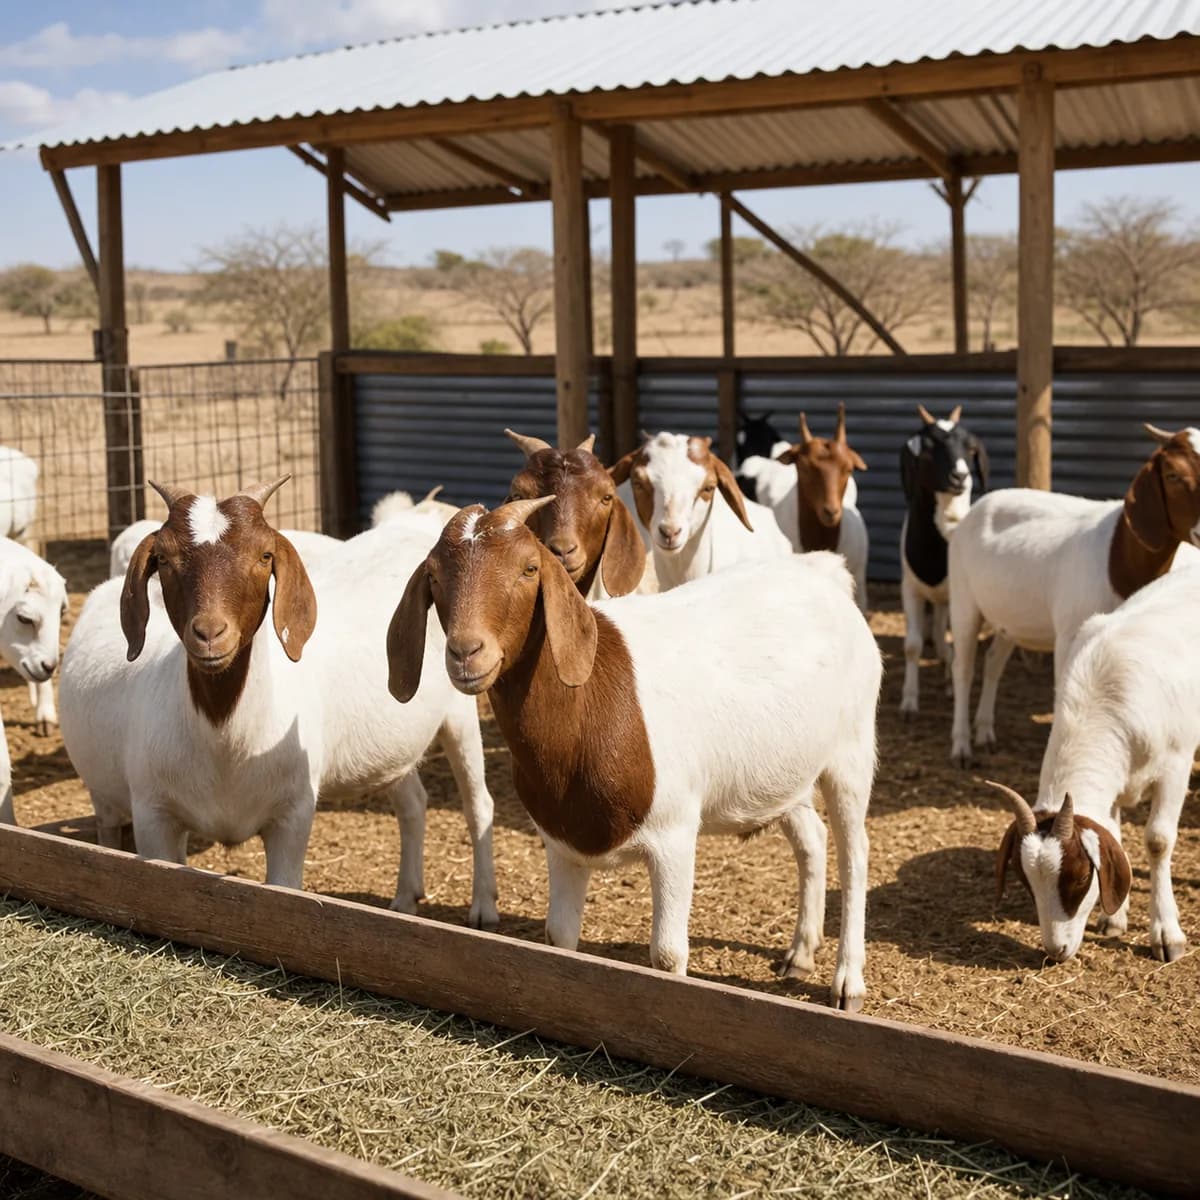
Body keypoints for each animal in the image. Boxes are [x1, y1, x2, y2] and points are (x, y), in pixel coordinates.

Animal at [59, 478, 498, 927]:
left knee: (478, 803)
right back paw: (406, 898)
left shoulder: (293, 814)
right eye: (163, 558)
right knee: (412, 802)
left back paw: (483, 907)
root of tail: (412, 524)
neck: (226, 737)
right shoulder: (154, 816)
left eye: (264, 555)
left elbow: (285, 890)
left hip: (461, 709)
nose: (211, 634)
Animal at [388, 497, 880, 1010]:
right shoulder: (561, 846)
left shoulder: (675, 834)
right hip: (786, 771)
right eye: (434, 576)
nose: (467, 652)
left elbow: (666, 954)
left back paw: (848, 983)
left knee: (855, 852)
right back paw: (800, 954)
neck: (586, 705)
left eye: (529, 568)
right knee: (812, 838)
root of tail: (822, 573)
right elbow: (558, 938)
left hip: (852, 748)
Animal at [898, 404, 989, 716]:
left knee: (942, 641)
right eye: (927, 449)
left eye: (971, 448)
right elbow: (913, 645)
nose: (959, 477)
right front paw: (909, 702)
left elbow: (952, 648)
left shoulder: (957, 598)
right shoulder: (909, 589)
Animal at [948, 425, 1200, 766]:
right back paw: (961, 746)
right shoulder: (1069, 634)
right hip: (963, 598)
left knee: (993, 662)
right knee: (963, 667)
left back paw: (985, 732)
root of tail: (971, 514)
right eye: (1172, 474)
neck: (1116, 559)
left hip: (1010, 618)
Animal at [990, 565, 1200, 963]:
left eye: (1079, 877)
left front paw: (1166, 933)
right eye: (1026, 881)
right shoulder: (1113, 787)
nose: (1056, 951)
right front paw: (1114, 918)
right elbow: (1114, 836)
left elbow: (1158, 840)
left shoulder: (1175, 766)